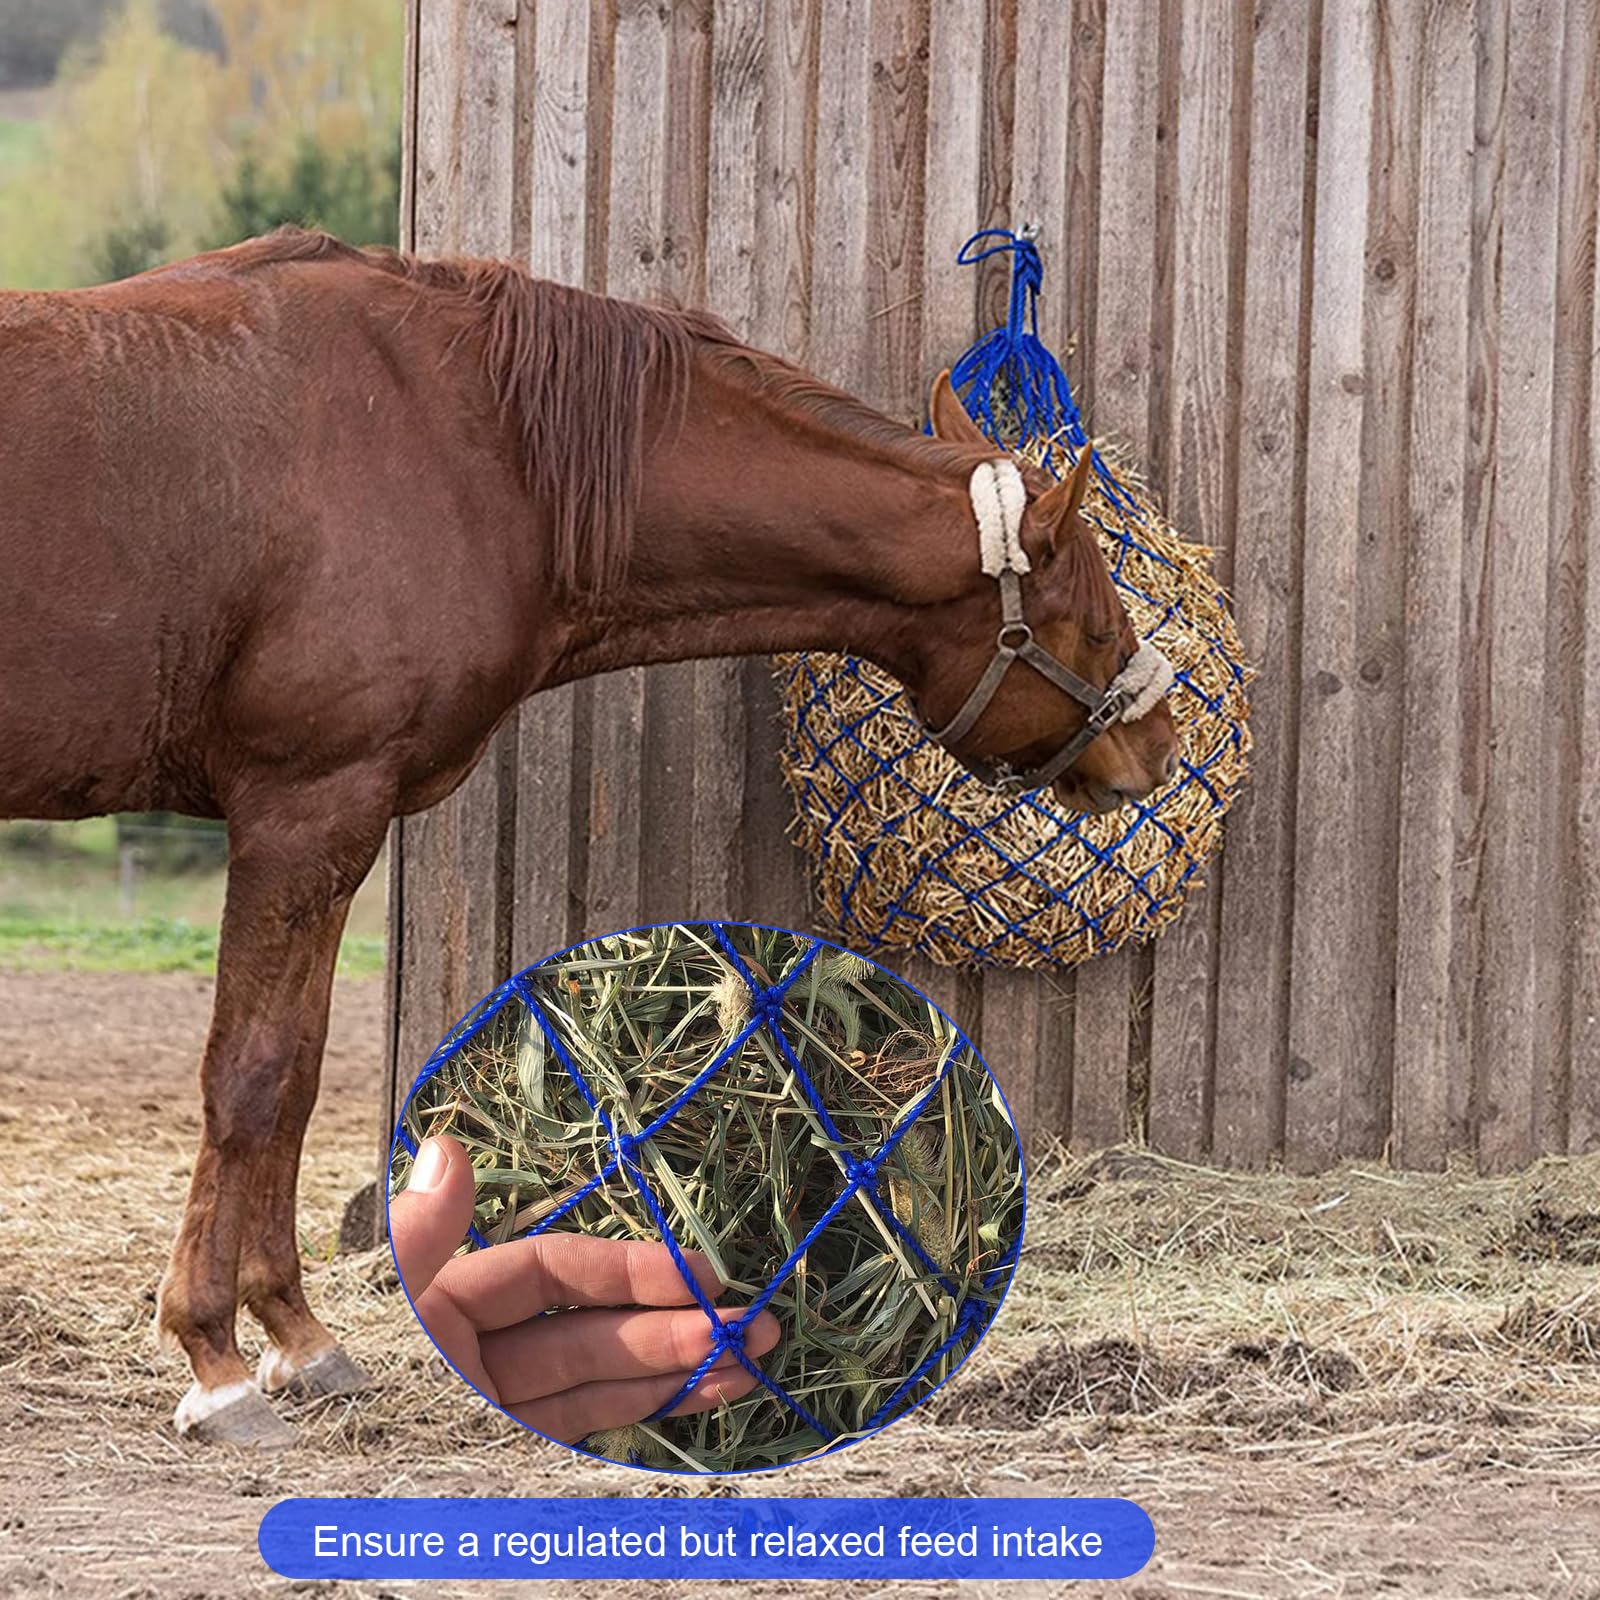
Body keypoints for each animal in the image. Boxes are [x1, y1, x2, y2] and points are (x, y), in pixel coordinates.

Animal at [0, 229, 1176, 1445]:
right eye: (1094, 624)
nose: (1160, 747)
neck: (468, 446)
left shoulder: (331, 827)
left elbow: (300, 1073)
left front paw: (298, 1337)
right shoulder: (304, 807)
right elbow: (251, 1077)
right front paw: (214, 1360)